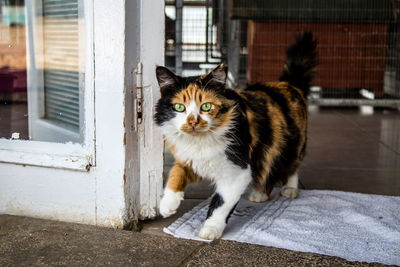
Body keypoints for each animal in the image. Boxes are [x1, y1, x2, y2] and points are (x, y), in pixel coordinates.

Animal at [155, 31, 318, 241]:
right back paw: (260, 193)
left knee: (291, 167)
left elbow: (220, 203)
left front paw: (210, 230)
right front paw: (167, 204)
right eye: (179, 107)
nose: (192, 122)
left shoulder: (238, 172)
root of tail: (287, 84)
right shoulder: (189, 160)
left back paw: (289, 189)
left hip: (291, 146)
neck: (200, 141)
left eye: (206, 106)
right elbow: (175, 174)